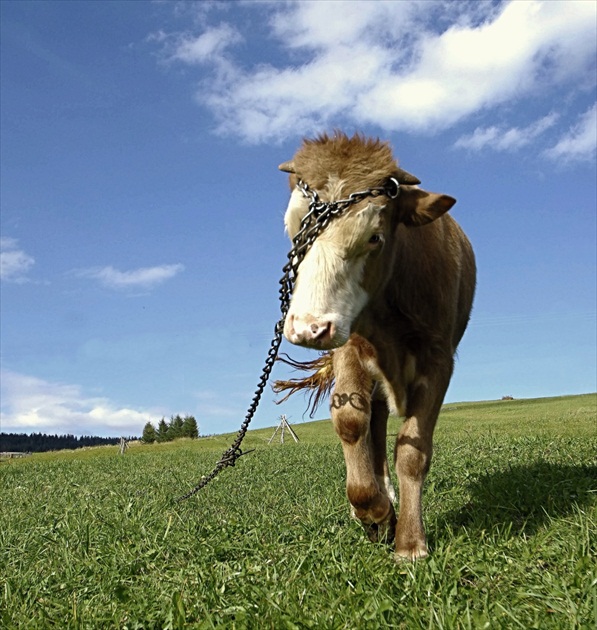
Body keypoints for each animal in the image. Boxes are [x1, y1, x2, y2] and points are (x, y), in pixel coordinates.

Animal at [276, 132, 474, 556]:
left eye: (374, 237)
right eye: (293, 230)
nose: (308, 329)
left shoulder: (438, 359)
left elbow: (413, 449)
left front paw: (410, 541)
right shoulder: (349, 345)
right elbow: (350, 420)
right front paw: (372, 511)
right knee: (375, 421)